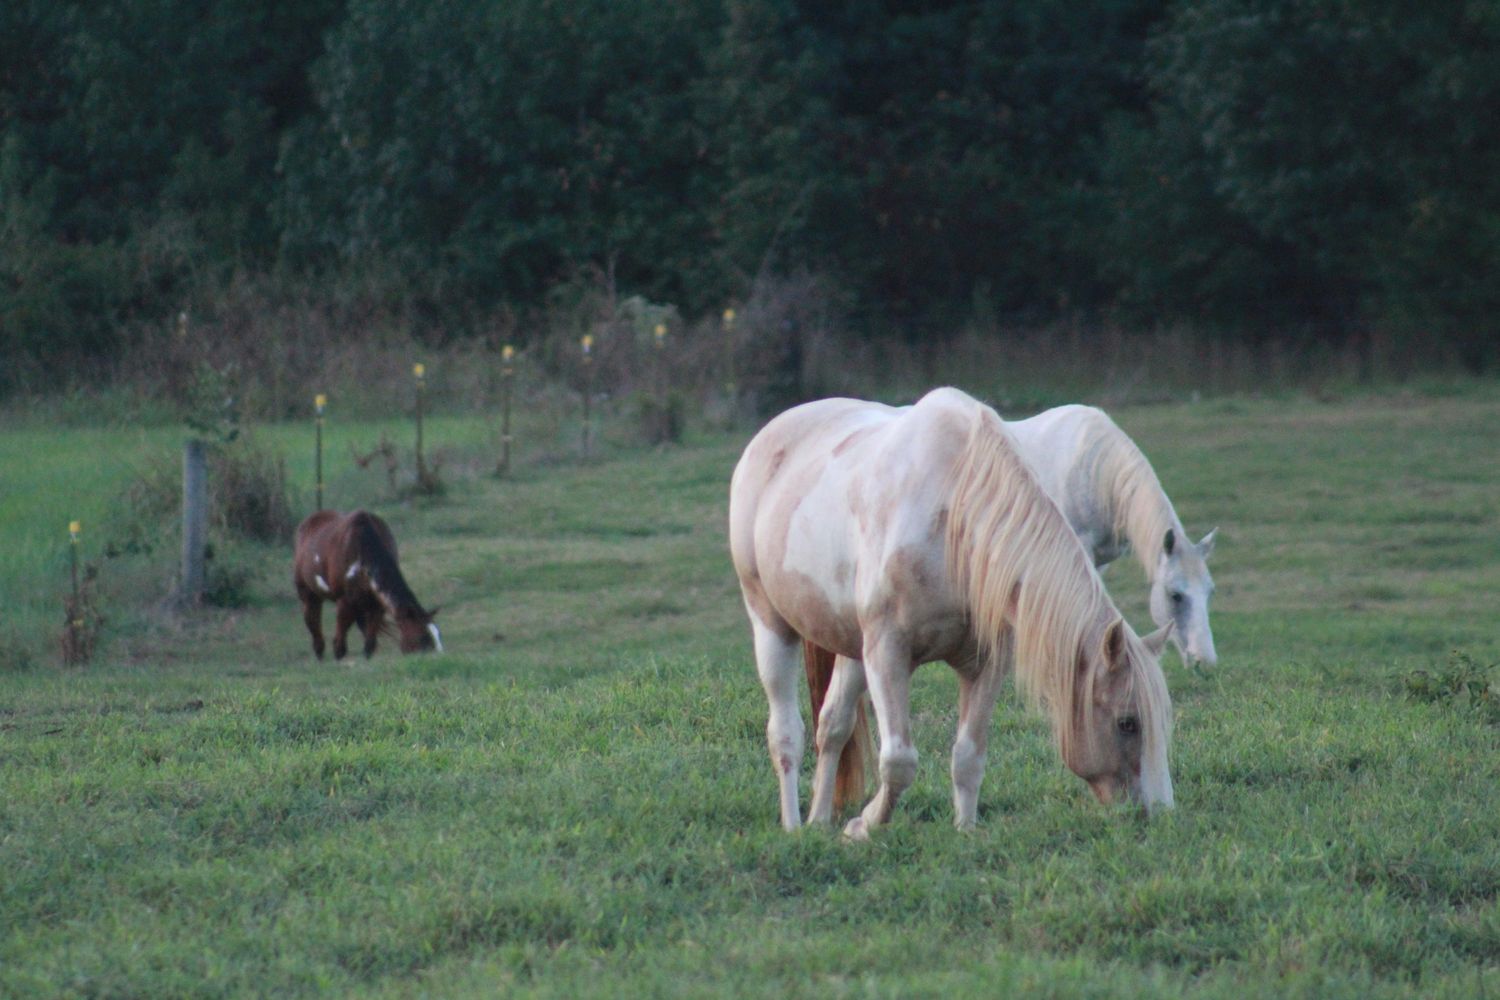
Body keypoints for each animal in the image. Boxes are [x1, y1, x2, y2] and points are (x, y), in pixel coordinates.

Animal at [289, 512, 438, 659]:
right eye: (422, 638)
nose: (433, 654)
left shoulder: (376, 603)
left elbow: (370, 640)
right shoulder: (345, 600)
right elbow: (340, 637)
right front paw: (339, 655)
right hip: (308, 595)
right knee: (312, 620)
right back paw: (319, 652)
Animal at [732, 389, 1176, 839]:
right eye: (1127, 722)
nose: (1158, 813)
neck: (955, 520)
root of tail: (771, 434)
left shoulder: (985, 663)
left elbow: (968, 757)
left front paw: (965, 831)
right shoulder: (888, 653)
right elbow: (898, 761)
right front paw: (863, 826)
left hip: (851, 646)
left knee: (833, 725)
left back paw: (820, 819)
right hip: (771, 625)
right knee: (786, 733)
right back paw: (793, 826)